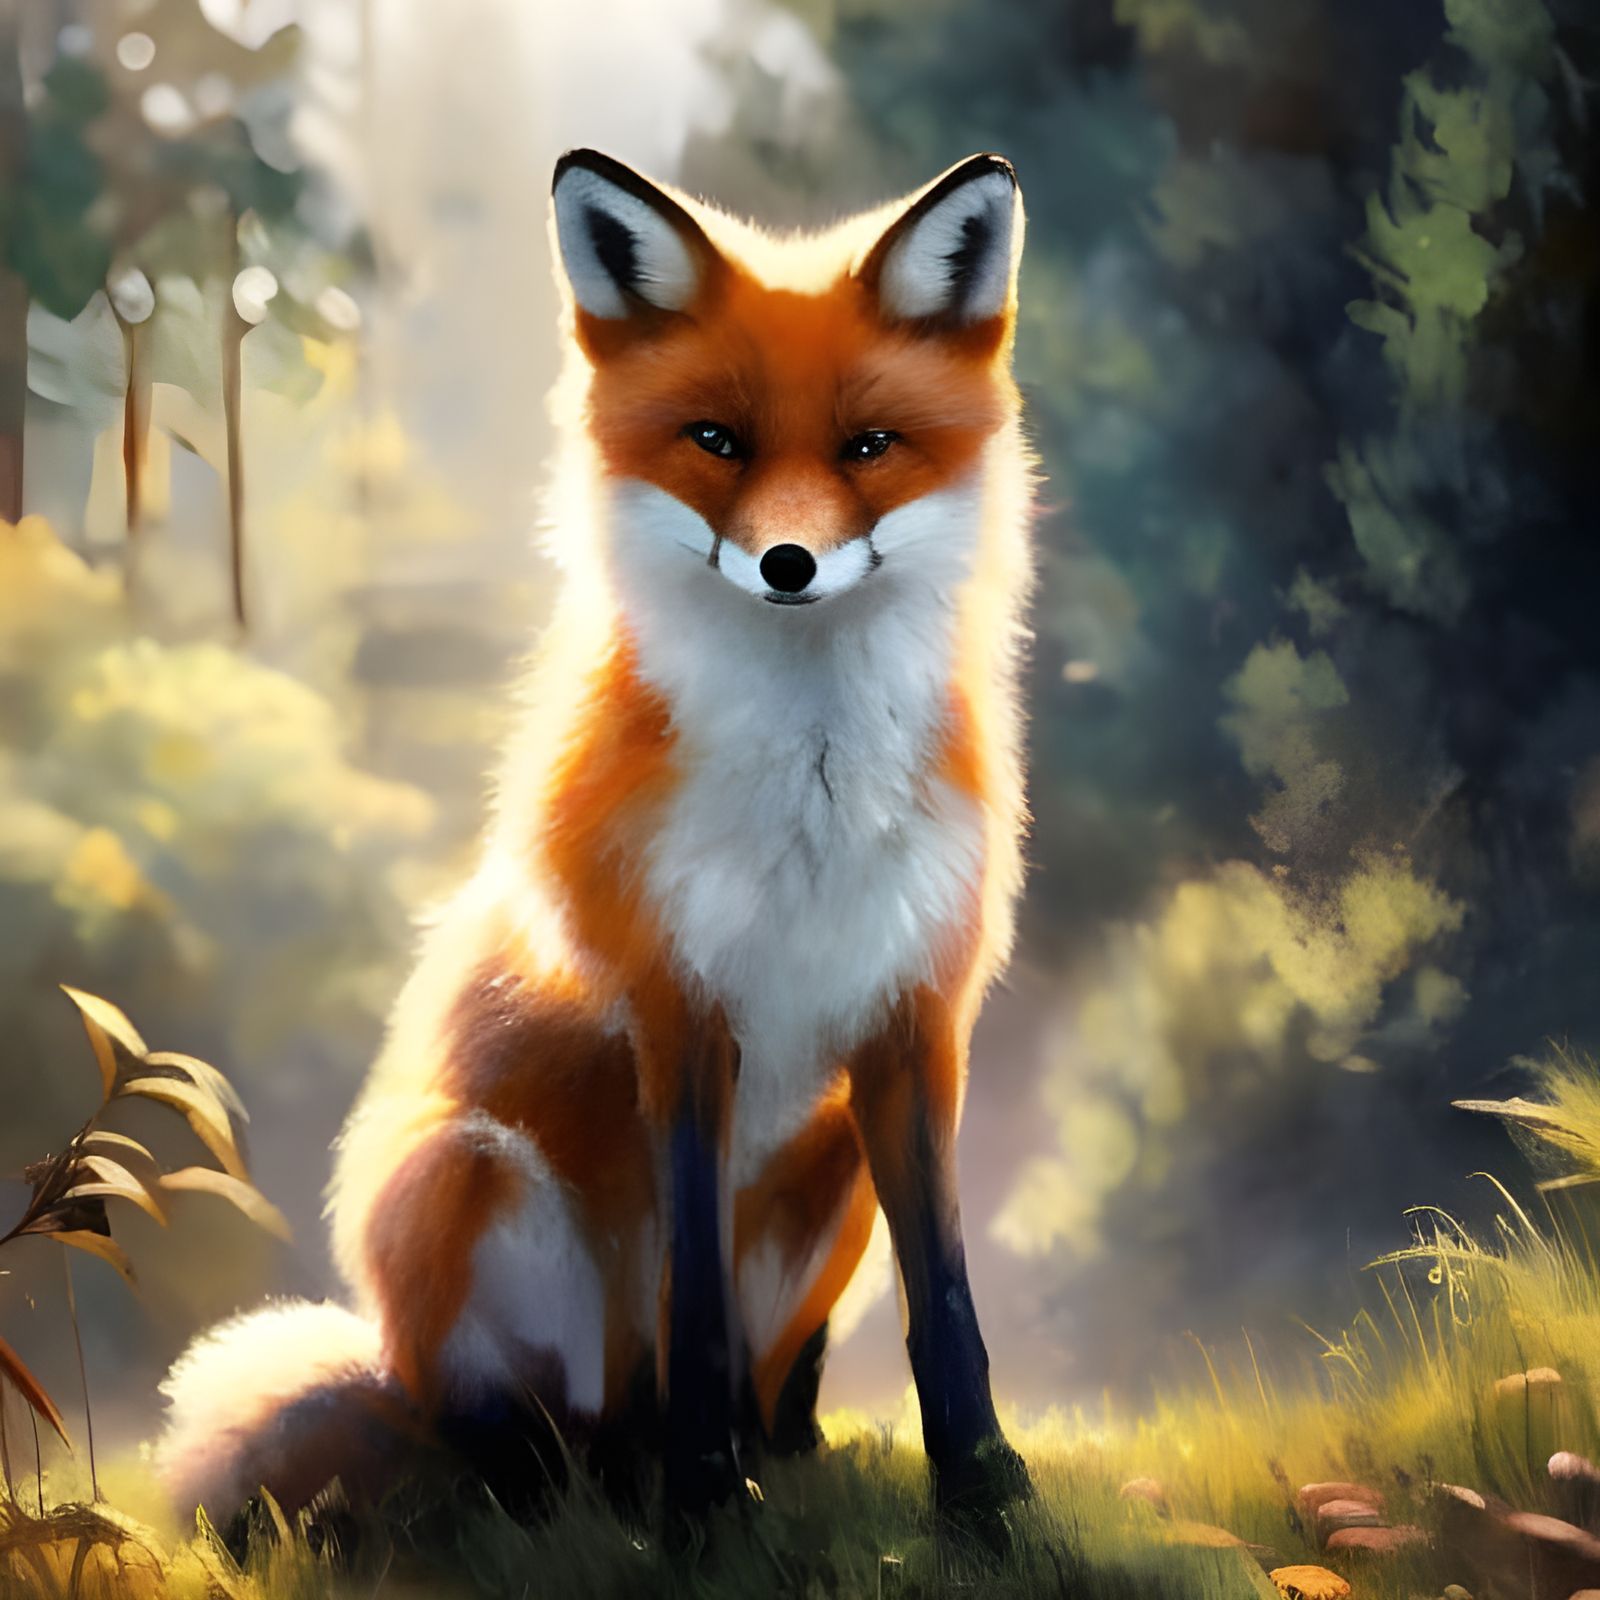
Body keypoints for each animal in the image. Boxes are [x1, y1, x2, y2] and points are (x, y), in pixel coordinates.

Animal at [158, 147, 1036, 1538]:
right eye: (717, 440)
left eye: (868, 446)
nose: (789, 562)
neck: (812, 802)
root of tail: (397, 1374)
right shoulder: (679, 1012)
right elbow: (693, 1299)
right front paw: (704, 1512)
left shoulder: (912, 1022)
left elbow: (944, 1299)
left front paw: (982, 1496)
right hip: (464, 1177)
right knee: (536, 1434)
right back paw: (594, 1489)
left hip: (831, 1151)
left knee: (756, 1381)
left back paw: (785, 1451)